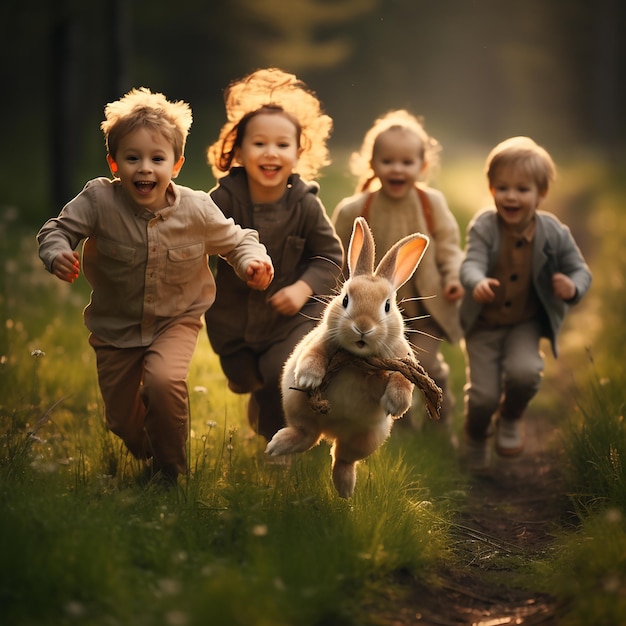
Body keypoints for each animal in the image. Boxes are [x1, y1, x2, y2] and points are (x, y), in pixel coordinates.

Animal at [264, 216, 428, 498]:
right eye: (345, 300)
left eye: (387, 306)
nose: (363, 327)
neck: (358, 360)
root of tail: (331, 431)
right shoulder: (321, 342)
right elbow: (313, 354)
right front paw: (308, 379)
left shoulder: (403, 359)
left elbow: (402, 380)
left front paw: (396, 405)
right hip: (299, 409)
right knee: (307, 436)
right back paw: (277, 446)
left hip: (366, 439)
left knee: (342, 457)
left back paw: (344, 489)